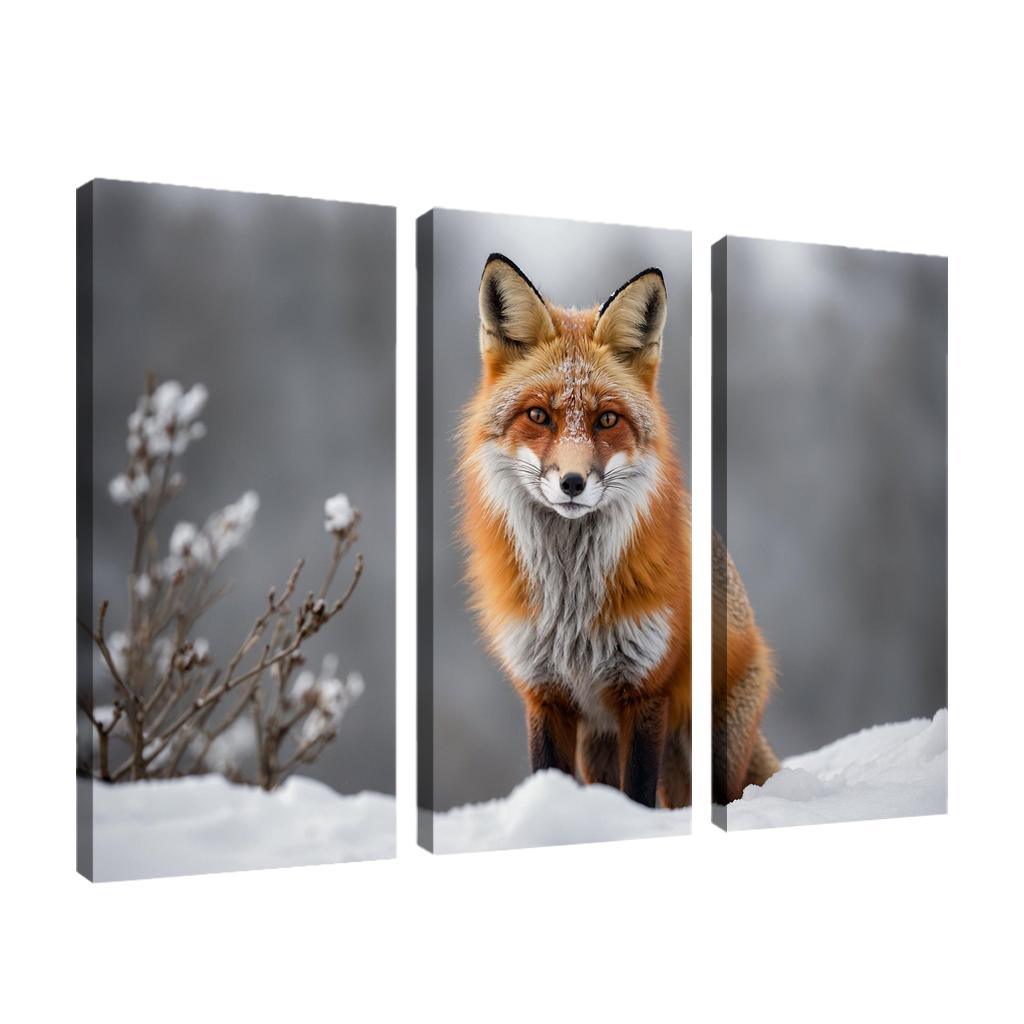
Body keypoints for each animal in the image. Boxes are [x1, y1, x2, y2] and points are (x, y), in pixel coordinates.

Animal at [459, 253, 778, 808]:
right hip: (600, 746)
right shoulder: (545, 694)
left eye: (606, 419)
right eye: (538, 415)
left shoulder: (646, 691)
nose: (572, 482)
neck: (571, 603)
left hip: (712, 749)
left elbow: (639, 795)